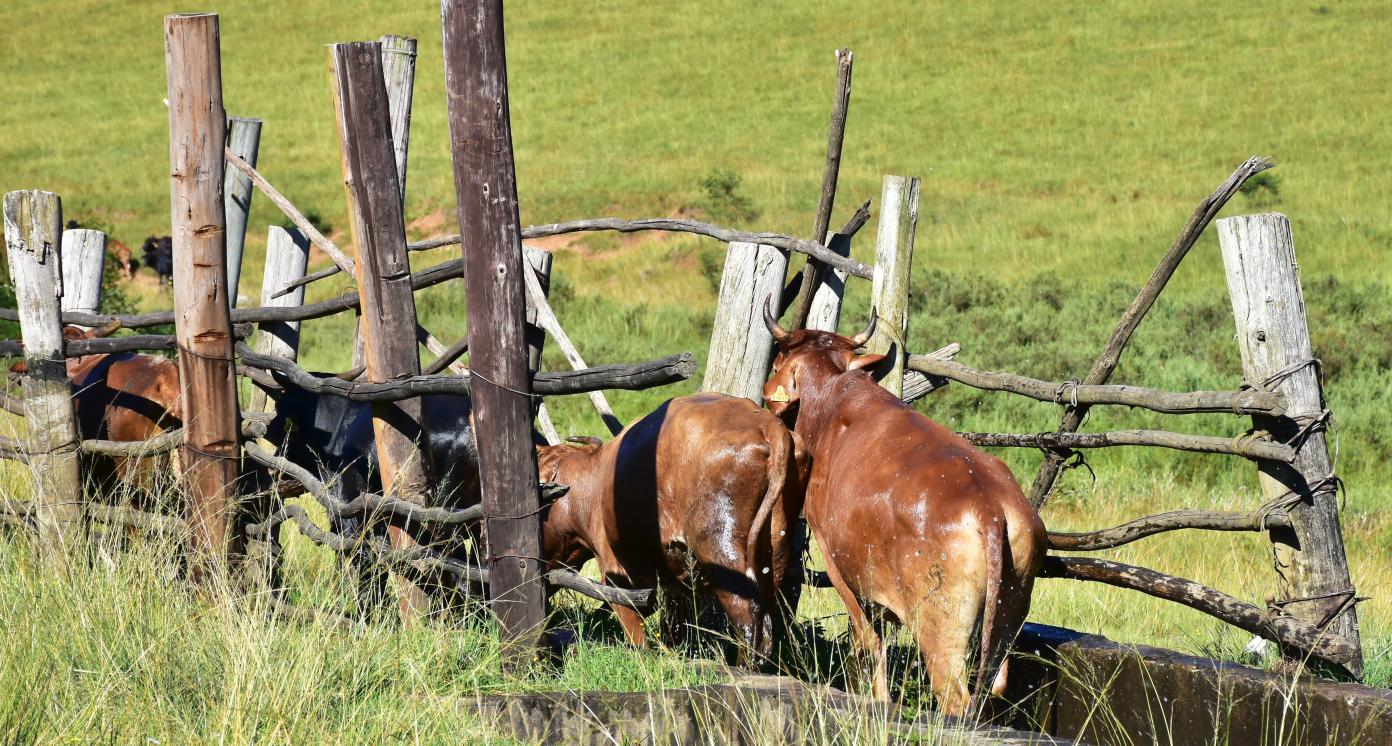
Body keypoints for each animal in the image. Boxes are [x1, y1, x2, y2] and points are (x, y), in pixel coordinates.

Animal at [537, 392, 812, 662]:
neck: (594, 482)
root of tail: (766, 422)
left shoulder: (616, 578)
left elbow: (639, 641)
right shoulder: (675, 582)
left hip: (721, 549)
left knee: (750, 621)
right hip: (775, 550)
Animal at [762, 304, 1046, 718]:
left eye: (778, 361)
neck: (831, 399)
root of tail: (990, 508)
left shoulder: (838, 564)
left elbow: (870, 642)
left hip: (940, 632)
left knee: (954, 696)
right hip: (1007, 617)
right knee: (996, 683)